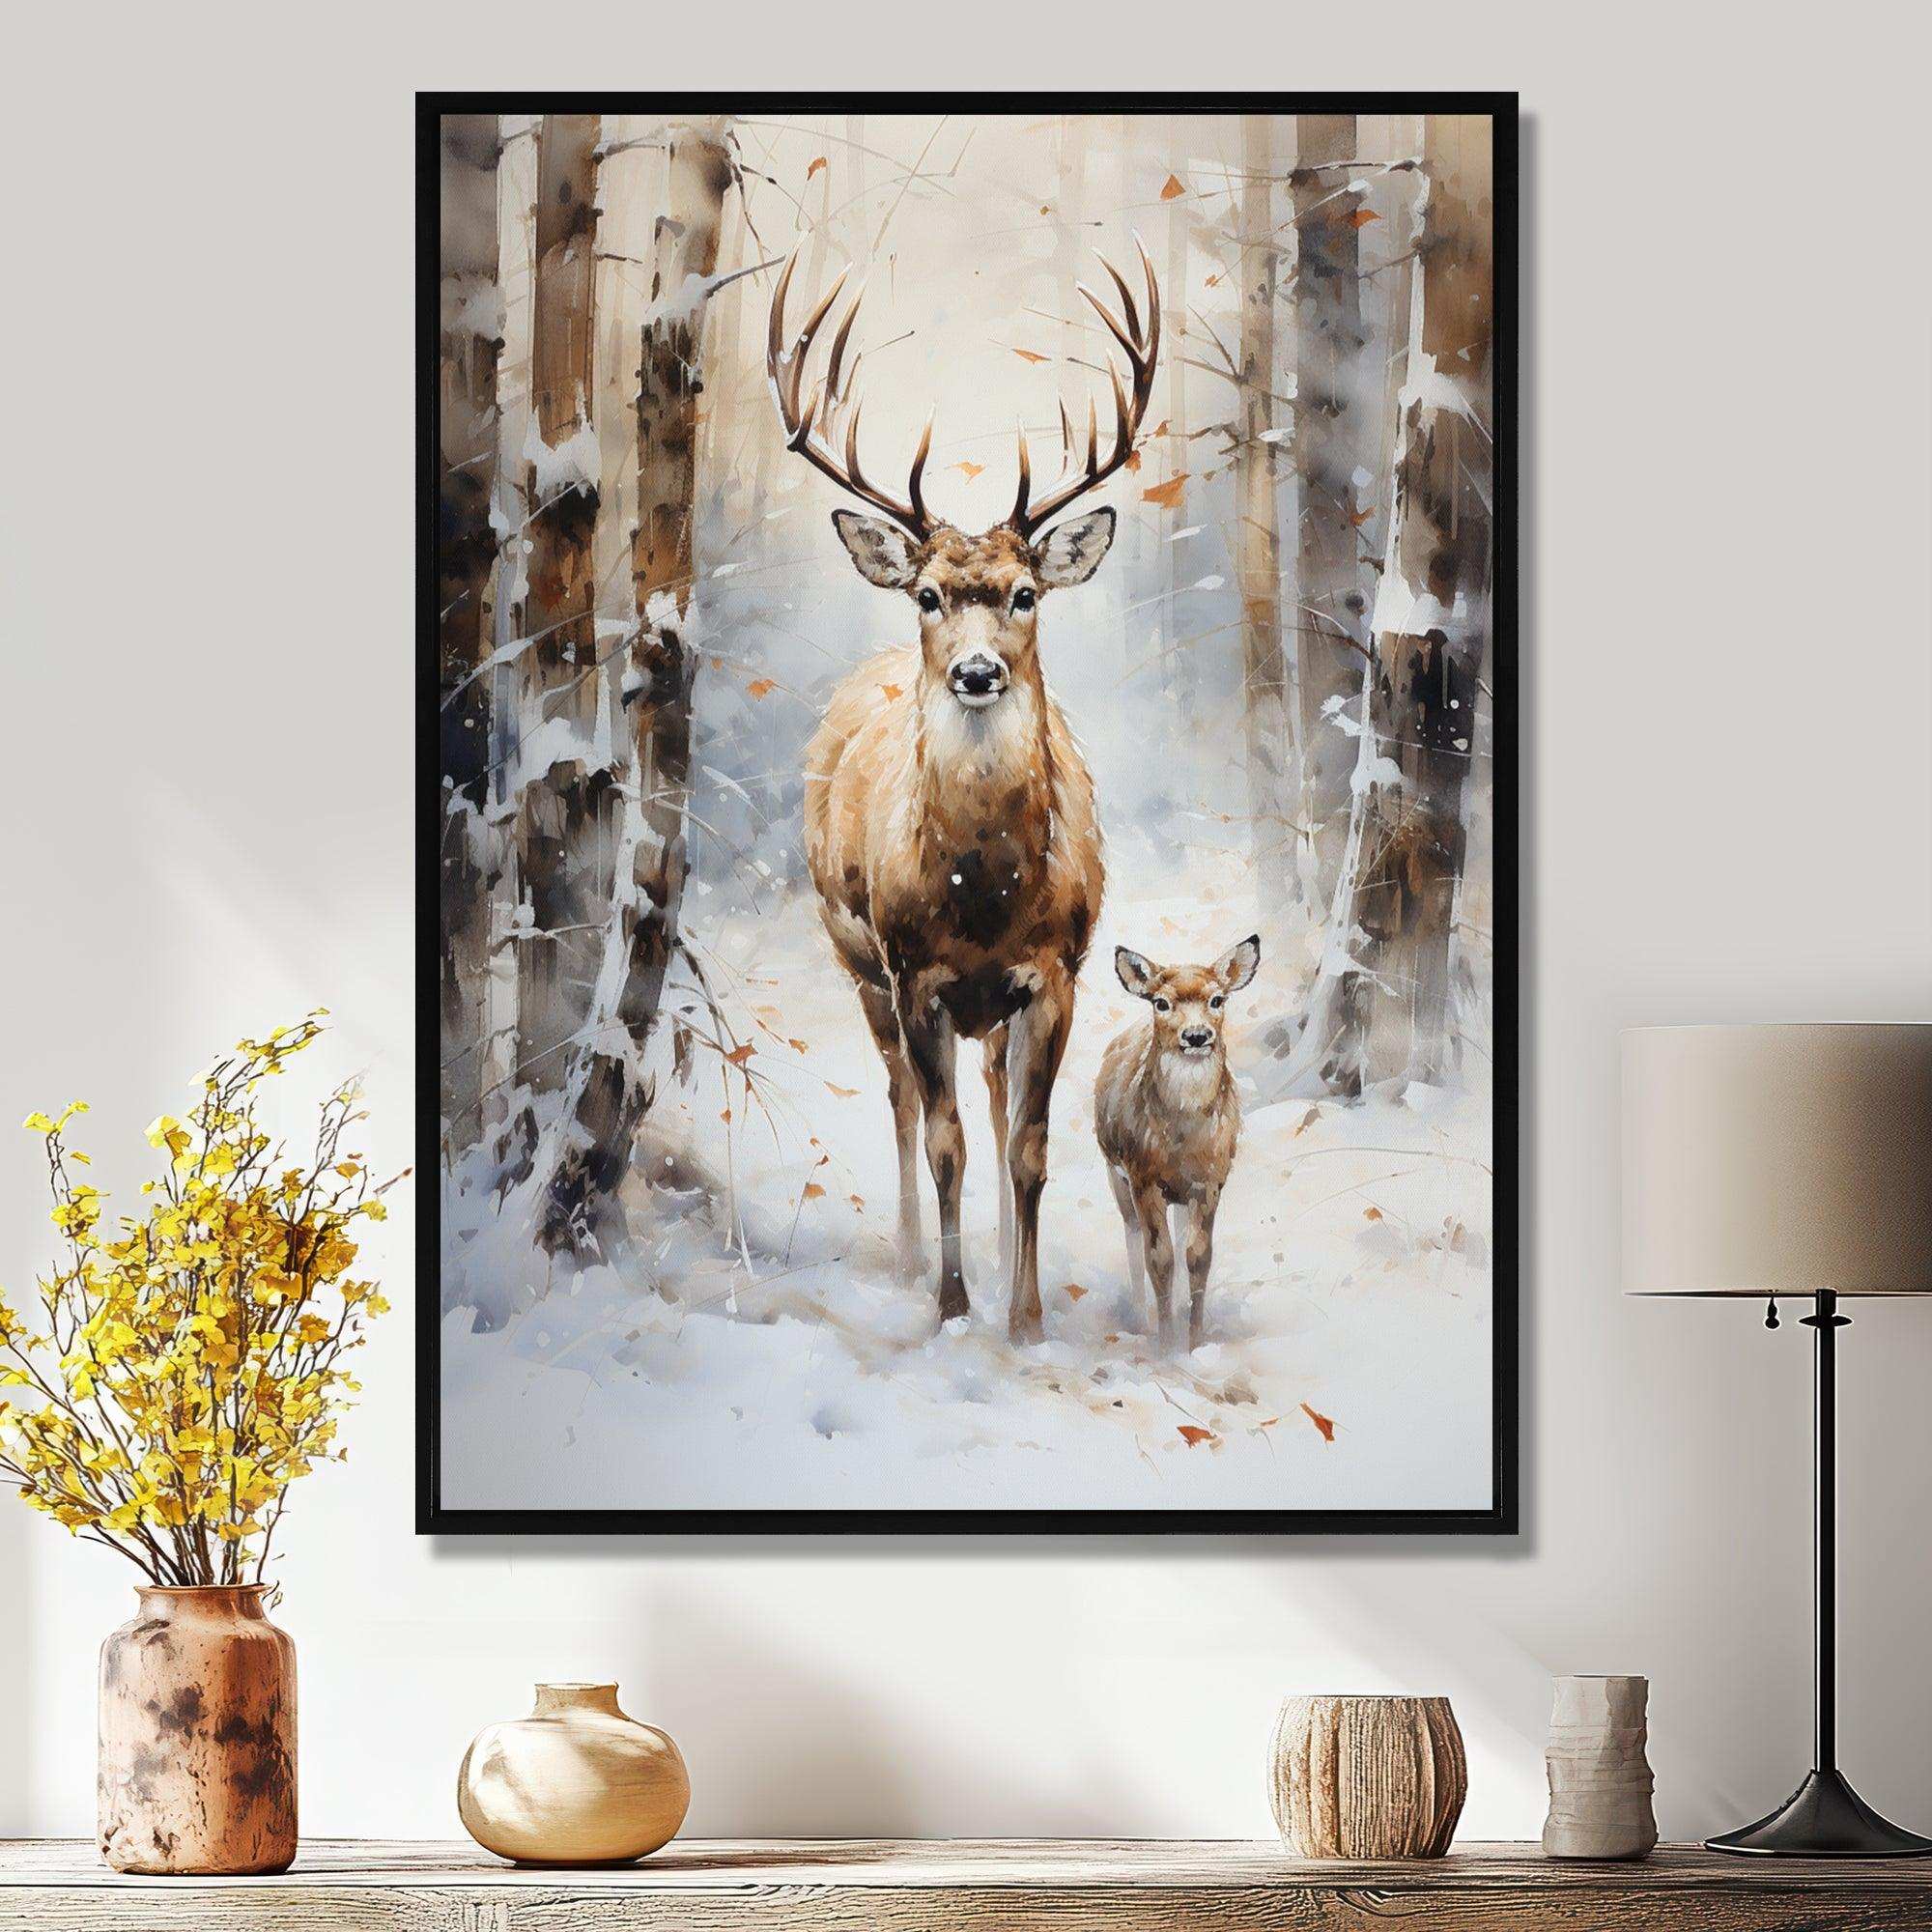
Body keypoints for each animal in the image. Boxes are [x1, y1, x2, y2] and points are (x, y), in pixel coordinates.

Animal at [769, 240, 1160, 1342]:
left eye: (1024, 593)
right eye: (928, 594)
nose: (977, 671)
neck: (983, 898)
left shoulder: (1055, 970)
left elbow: (1027, 1144)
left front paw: (1023, 1312)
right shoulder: (916, 972)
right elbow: (940, 1137)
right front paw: (949, 1304)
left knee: (990, 1098)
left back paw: (993, 1252)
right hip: (852, 955)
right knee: (905, 1101)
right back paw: (913, 1253)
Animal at [1094, 935, 1261, 1352]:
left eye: (1217, 999)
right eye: (1161, 1002)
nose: (1197, 1035)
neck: (1184, 1139)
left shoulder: (1210, 1182)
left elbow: (1199, 1257)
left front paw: (1195, 1343)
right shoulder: (1143, 1178)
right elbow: (1159, 1258)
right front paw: (1166, 1344)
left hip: (1182, 1194)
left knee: (1182, 1235)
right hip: (1114, 1172)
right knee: (1132, 1234)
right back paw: (1140, 1318)